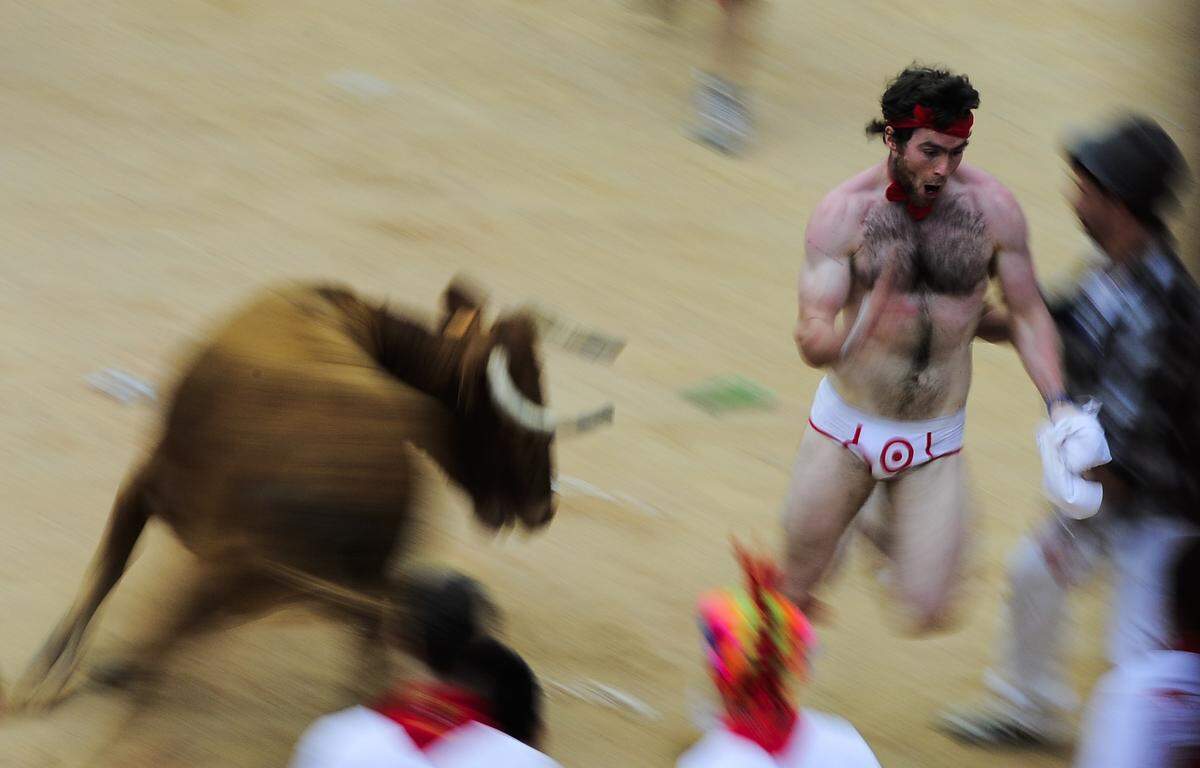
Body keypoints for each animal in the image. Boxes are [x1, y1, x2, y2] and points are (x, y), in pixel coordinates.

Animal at [9, 276, 609, 710]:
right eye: (514, 428)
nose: (544, 507)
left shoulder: (148, 489)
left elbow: (106, 573)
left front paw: (48, 676)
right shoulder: (143, 485)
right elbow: (105, 572)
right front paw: (44, 676)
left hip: (244, 575)